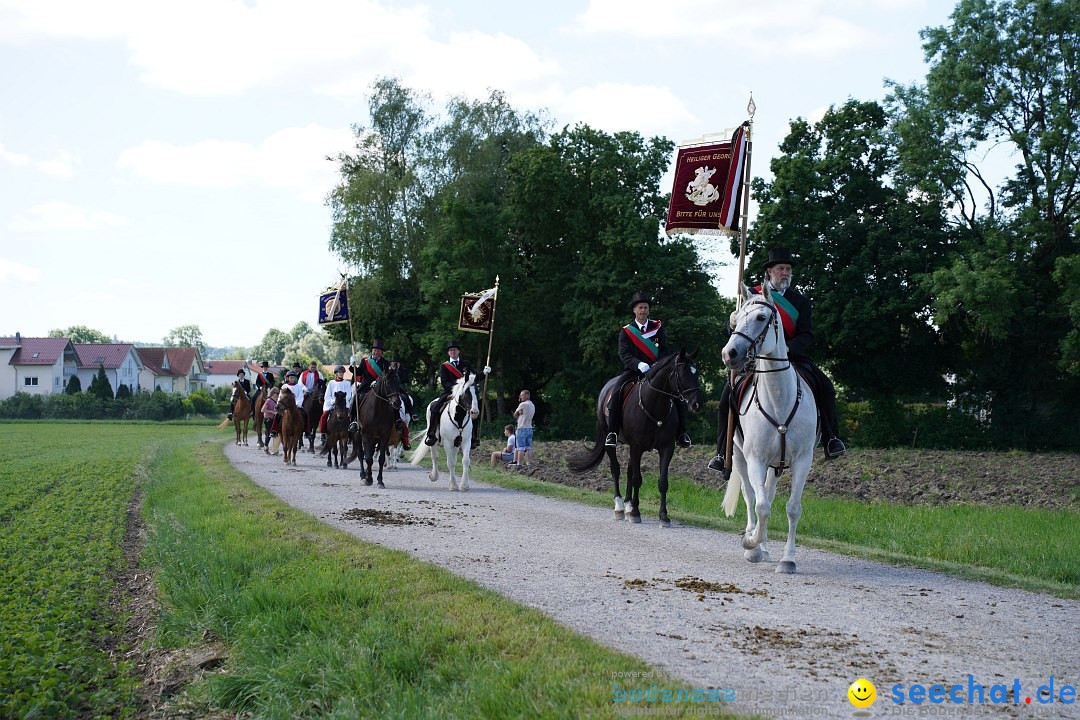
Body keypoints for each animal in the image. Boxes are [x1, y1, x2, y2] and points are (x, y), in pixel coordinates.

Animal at [570, 351, 704, 526]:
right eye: (682, 373)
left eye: (696, 372)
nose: (697, 404)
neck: (655, 406)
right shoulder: (637, 447)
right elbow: (637, 479)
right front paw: (635, 512)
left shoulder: (666, 448)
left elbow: (662, 482)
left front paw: (663, 516)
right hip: (611, 441)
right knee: (616, 469)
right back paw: (620, 508)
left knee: (628, 471)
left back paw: (628, 506)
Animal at [717, 284, 816, 569]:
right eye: (738, 318)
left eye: (762, 317)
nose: (730, 354)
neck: (779, 398)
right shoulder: (755, 459)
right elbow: (760, 505)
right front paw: (750, 544)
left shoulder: (803, 461)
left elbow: (792, 508)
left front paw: (788, 558)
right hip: (740, 457)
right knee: (751, 497)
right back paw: (754, 542)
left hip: (776, 466)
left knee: (768, 495)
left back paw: (766, 549)